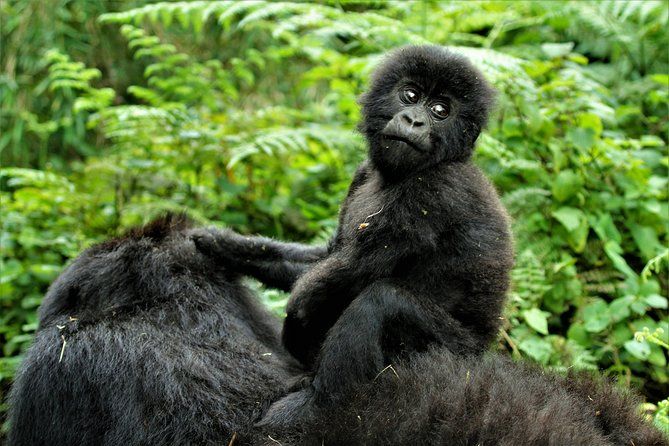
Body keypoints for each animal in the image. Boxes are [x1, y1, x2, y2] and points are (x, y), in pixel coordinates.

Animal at [193, 45, 512, 426]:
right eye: (410, 95)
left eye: (440, 111)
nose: (414, 121)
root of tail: (483, 355)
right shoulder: (361, 175)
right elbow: (326, 257)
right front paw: (223, 245)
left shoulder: (433, 191)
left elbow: (345, 277)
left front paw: (297, 322)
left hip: (455, 358)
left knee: (381, 300)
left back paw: (315, 404)